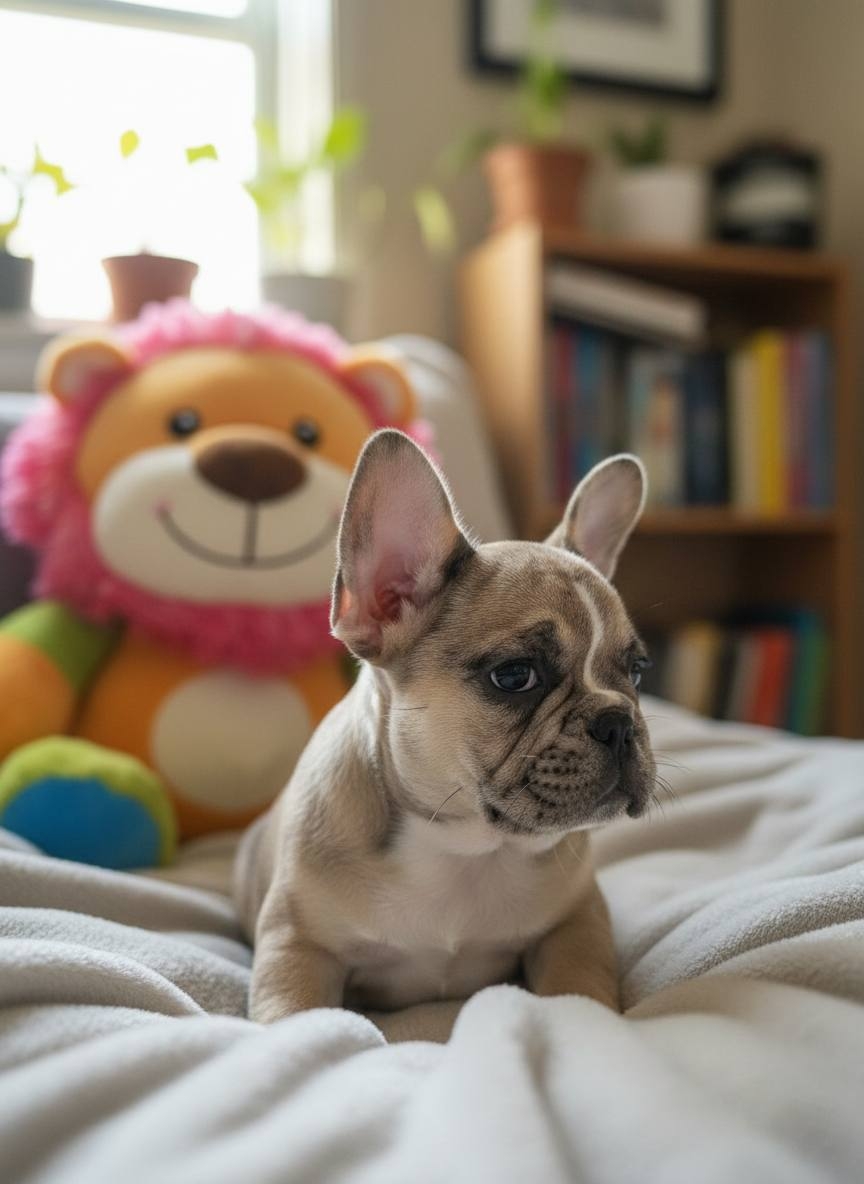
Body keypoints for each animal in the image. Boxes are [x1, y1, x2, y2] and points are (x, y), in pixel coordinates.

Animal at [235, 429, 655, 1023]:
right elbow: (300, 1018)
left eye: (638, 672)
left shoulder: (577, 923)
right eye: (515, 676)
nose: (618, 722)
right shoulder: (297, 945)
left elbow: (580, 990)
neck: (463, 845)